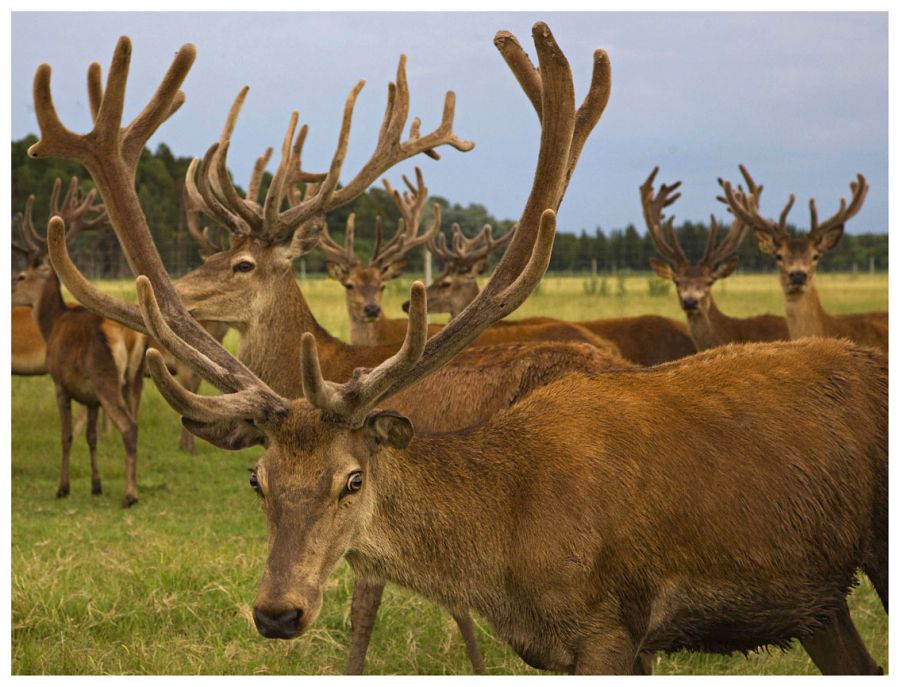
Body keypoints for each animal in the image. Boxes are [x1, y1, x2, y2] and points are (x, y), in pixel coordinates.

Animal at [11, 180, 146, 508]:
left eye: (21, 275)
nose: (7, 292)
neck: (52, 325)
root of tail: (126, 335)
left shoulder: (59, 382)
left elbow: (66, 436)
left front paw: (63, 487)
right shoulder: (91, 398)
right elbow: (91, 437)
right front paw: (96, 485)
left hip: (105, 377)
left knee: (129, 427)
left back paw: (130, 494)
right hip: (129, 379)